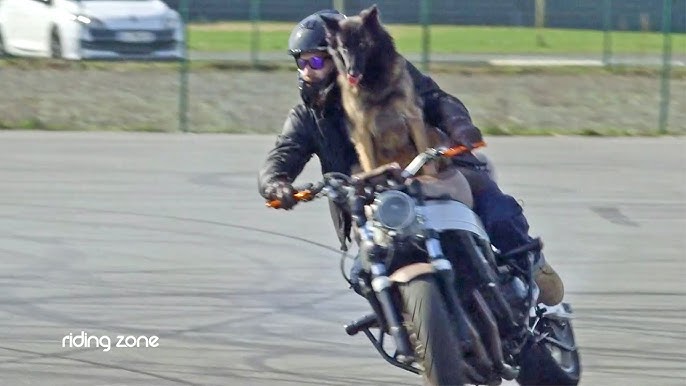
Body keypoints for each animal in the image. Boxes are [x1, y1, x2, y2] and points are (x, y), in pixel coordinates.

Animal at [320, 4, 444, 176]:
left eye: (362, 45)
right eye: (344, 48)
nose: (352, 73)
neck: (374, 83)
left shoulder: (413, 116)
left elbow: (424, 155)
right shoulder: (361, 131)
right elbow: (370, 164)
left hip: (430, 131)